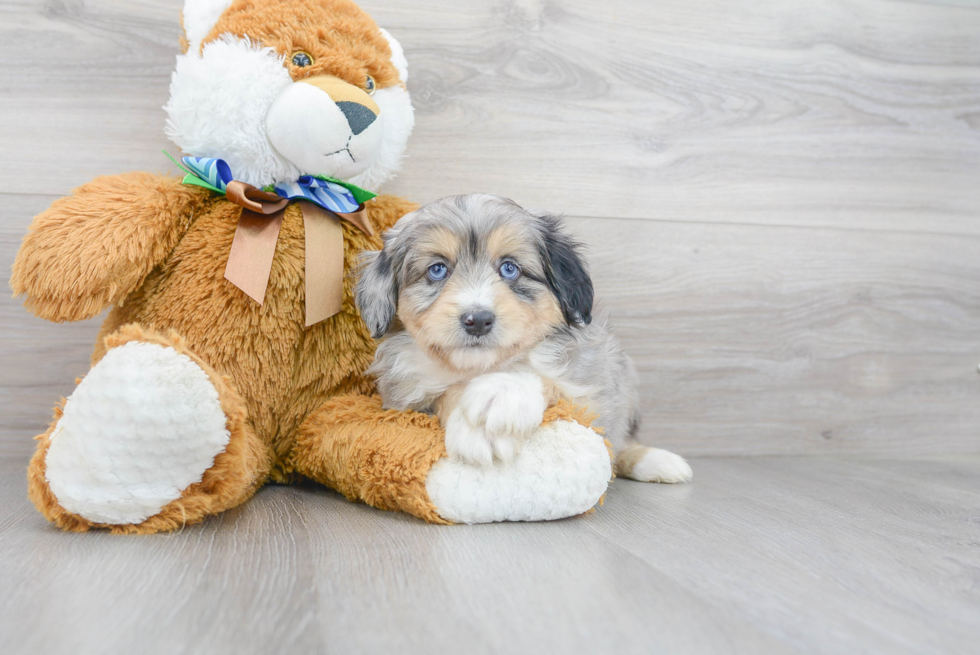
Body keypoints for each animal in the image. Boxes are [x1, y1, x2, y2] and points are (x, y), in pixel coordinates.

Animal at [356, 192, 692, 484]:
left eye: (510, 268)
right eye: (437, 270)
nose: (478, 320)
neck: (480, 368)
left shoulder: (589, 399)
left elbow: (541, 378)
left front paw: (499, 398)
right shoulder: (404, 406)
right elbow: (444, 394)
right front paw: (476, 426)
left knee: (622, 441)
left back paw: (659, 461)